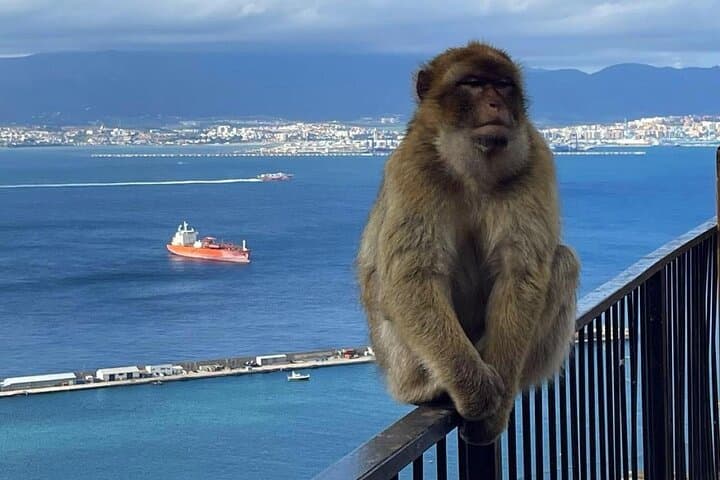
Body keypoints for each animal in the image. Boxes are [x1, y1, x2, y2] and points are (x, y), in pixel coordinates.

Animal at [356, 41, 580, 445]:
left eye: (503, 85)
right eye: (473, 84)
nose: (495, 103)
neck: (475, 165)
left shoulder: (535, 157)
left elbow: (520, 273)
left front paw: (496, 402)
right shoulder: (414, 166)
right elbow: (413, 276)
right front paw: (477, 394)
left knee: (562, 263)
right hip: (400, 363)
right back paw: (428, 387)